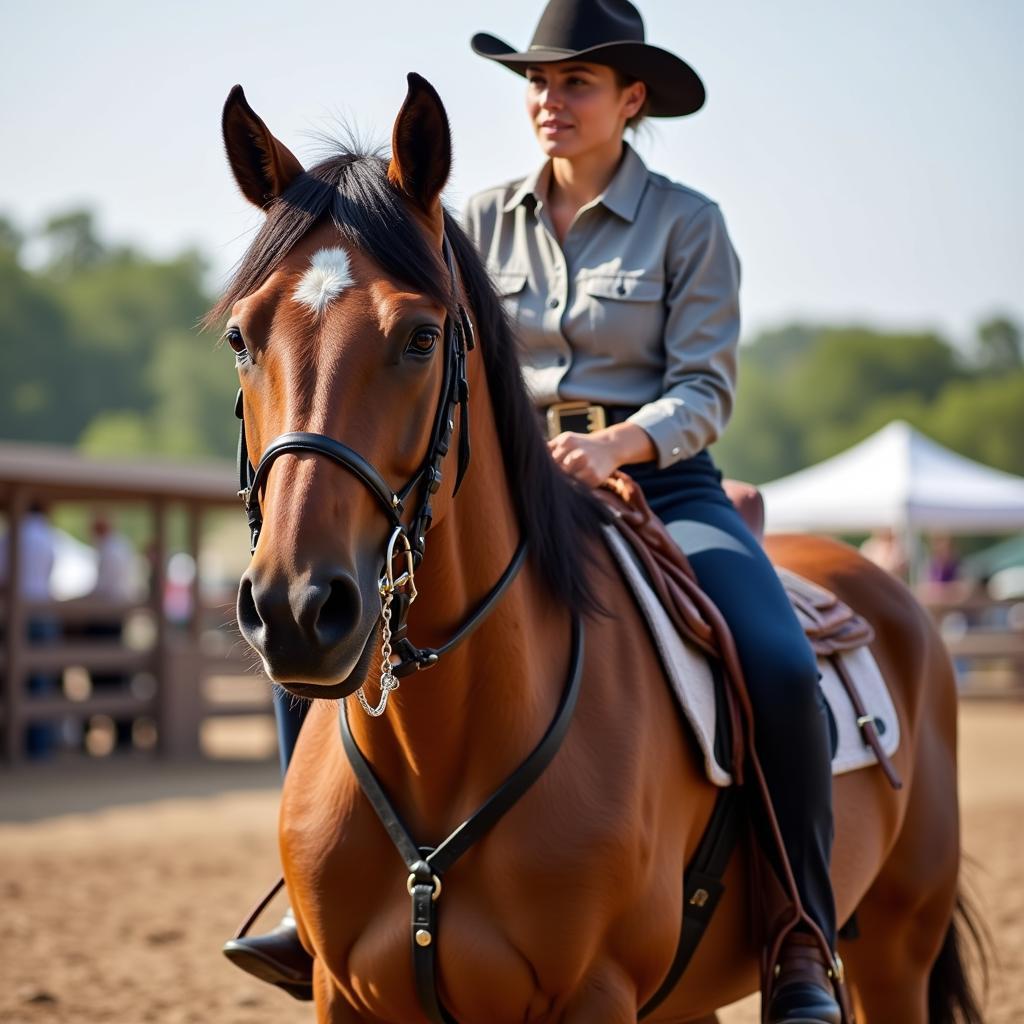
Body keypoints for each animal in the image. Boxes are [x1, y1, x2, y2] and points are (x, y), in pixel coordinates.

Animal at [209, 74, 983, 1024]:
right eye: (242, 337)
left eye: (420, 337)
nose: (296, 607)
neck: (444, 752)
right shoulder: (345, 998)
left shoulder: (594, 994)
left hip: (896, 953)